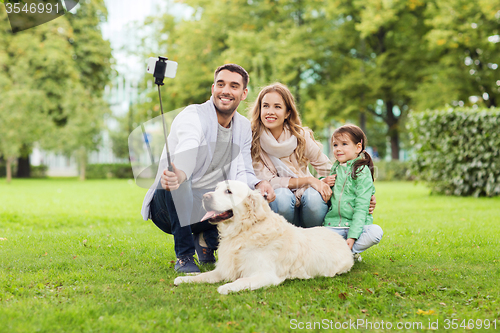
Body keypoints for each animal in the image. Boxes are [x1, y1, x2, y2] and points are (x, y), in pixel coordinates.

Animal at [174, 179, 354, 294]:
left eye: (228, 191)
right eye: (216, 189)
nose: (205, 197)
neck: (243, 231)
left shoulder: (266, 275)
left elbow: (241, 280)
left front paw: (227, 287)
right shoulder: (225, 268)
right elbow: (204, 275)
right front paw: (185, 279)